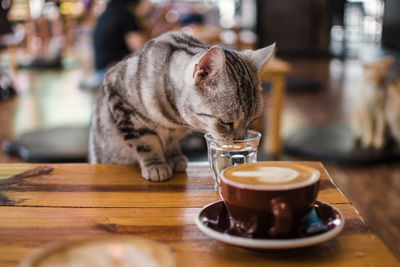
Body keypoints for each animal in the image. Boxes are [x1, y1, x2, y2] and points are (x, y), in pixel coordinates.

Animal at [88, 31, 276, 182]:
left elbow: (172, 142)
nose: (239, 141)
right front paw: (155, 165)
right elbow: (145, 142)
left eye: (252, 121)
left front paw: (174, 157)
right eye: (226, 122)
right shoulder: (123, 105)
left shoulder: (175, 132)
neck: (174, 118)